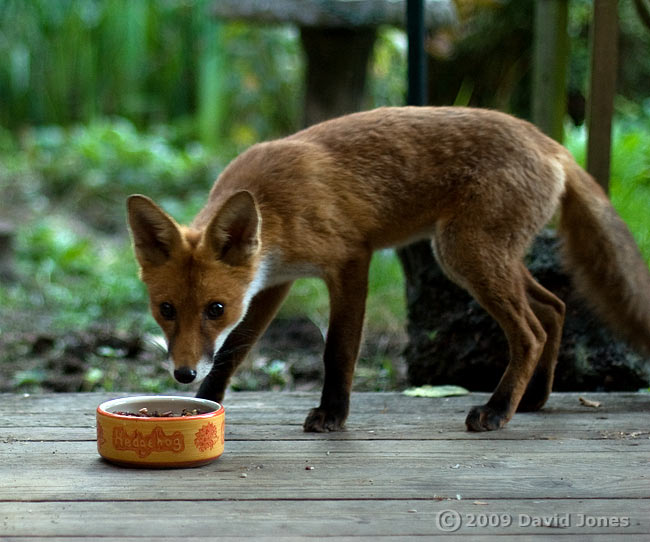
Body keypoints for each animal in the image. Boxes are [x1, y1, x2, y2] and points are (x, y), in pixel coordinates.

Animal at [126, 106, 648, 434]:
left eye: (214, 308)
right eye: (166, 309)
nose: (184, 375)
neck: (274, 209)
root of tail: (551, 143)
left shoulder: (350, 258)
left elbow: (338, 350)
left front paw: (332, 415)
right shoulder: (273, 282)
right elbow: (234, 352)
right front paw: (207, 400)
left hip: (463, 254)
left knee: (531, 331)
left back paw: (499, 410)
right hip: (486, 256)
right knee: (555, 306)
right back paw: (534, 398)